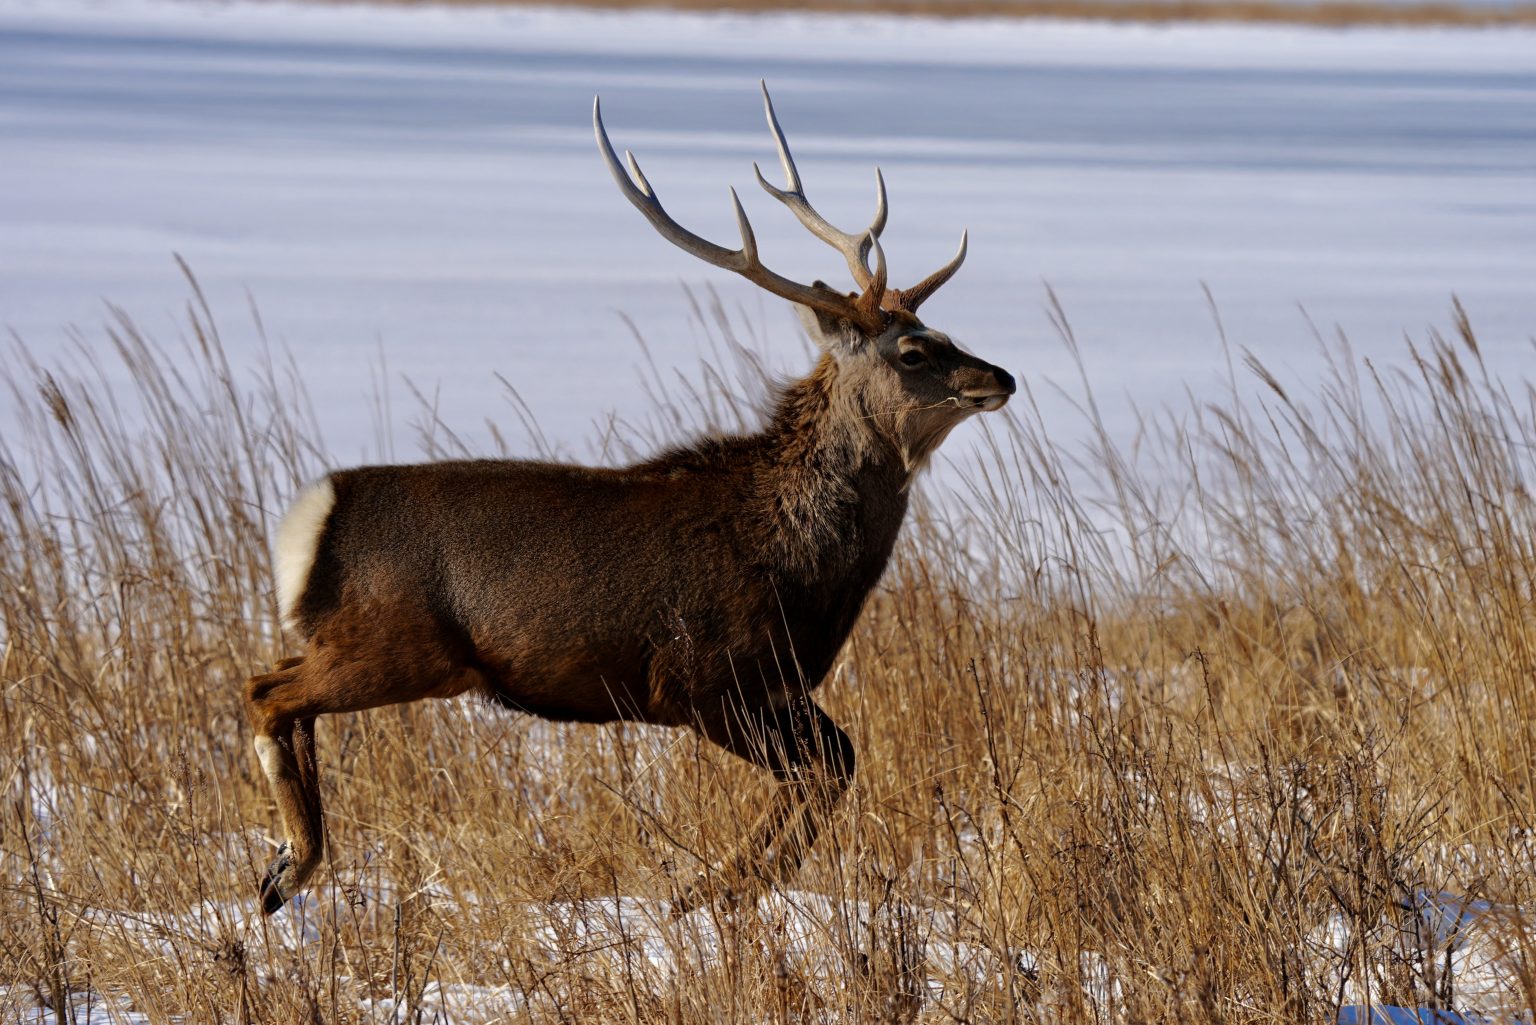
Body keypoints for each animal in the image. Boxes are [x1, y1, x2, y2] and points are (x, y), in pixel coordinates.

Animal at [245, 82, 1013, 915]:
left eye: (940, 330)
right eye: (913, 351)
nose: (1001, 377)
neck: (806, 566)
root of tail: (310, 521)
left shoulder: (776, 683)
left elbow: (836, 759)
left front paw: (733, 884)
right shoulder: (704, 677)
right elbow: (821, 768)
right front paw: (712, 887)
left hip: (374, 644)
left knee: (277, 687)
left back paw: (282, 866)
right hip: (396, 640)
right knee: (267, 691)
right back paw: (291, 865)